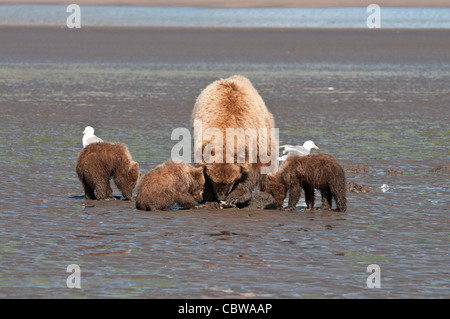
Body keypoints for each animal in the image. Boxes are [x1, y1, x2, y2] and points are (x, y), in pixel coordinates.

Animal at [191, 75, 276, 208]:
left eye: (230, 181)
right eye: (214, 181)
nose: (221, 197)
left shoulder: (255, 138)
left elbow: (255, 166)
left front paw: (235, 197)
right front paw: (211, 199)